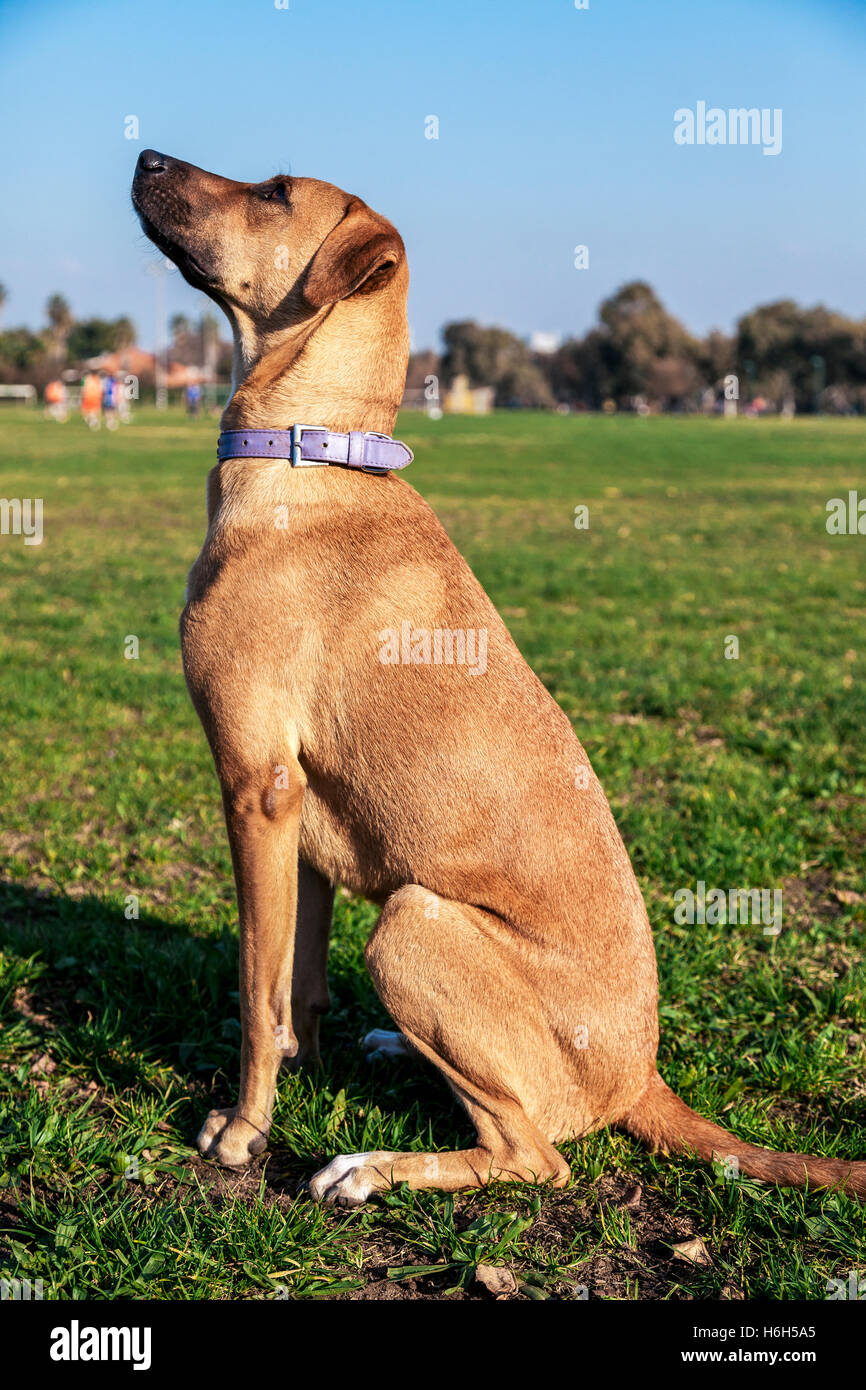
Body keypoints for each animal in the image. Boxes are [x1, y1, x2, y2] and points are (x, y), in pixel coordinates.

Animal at [132, 146, 861, 1200]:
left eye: (273, 193)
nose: (145, 155)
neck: (312, 456)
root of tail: (643, 1077)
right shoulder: (300, 815)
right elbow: (297, 987)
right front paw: (299, 1072)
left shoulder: (255, 785)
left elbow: (253, 983)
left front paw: (242, 1132)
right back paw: (393, 1053)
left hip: (413, 921)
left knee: (536, 1155)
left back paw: (370, 1168)